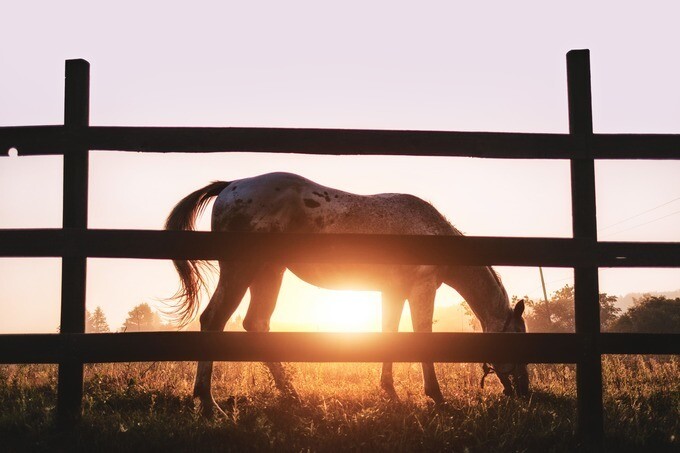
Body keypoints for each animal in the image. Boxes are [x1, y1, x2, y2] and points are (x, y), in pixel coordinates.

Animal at [166, 171, 532, 414]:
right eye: (518, 339)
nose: (525, 392)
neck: (429, 232)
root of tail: (231, 186)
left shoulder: (393, 292)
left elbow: (390, 336)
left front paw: (390, 392)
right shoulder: (420, 288)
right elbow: (421, 336)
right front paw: (436, 396)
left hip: (269, 272)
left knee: (255, 324)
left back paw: (292, 395)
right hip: (241, 269)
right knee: (214, 320)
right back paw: (208, 402)